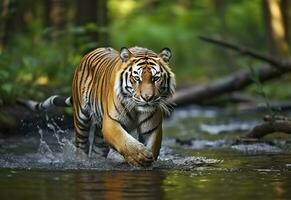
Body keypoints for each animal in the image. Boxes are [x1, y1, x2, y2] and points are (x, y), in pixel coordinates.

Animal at [22, 46, 176, 166]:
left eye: (155, 78)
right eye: (137, 78)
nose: (147, 98)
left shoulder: (152, 128)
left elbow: (152, 145)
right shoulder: (111, 123)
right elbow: (125, 141)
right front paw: (140, 156)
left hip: (100, 136)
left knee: (97, 151)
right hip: (81, 119)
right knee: (81, 146)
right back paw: (83, 162)